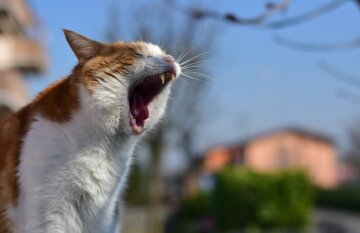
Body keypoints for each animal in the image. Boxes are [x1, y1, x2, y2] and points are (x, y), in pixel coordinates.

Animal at [0, 29, 181, 233]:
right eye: (137, 53)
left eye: (163, 53)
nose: (170, 58)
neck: (104, 149)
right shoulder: (49, 217)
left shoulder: (104, 219)